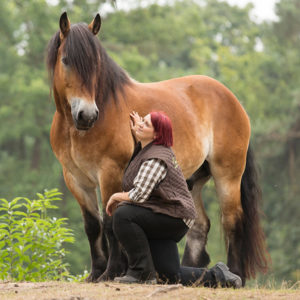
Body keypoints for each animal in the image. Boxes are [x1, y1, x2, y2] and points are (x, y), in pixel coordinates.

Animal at [47, 12, 270, 286]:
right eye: (66, 60)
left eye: (96, 64)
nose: (87, 115)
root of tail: (233, 99)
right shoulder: (76, 179)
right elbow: (92, 226)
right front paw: (96, 273)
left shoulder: (109, 173)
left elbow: (110, 222)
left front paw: (112, 272)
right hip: (193, 179)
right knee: (199, 225)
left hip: (227, 174)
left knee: (233, 220)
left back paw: (234, 274)